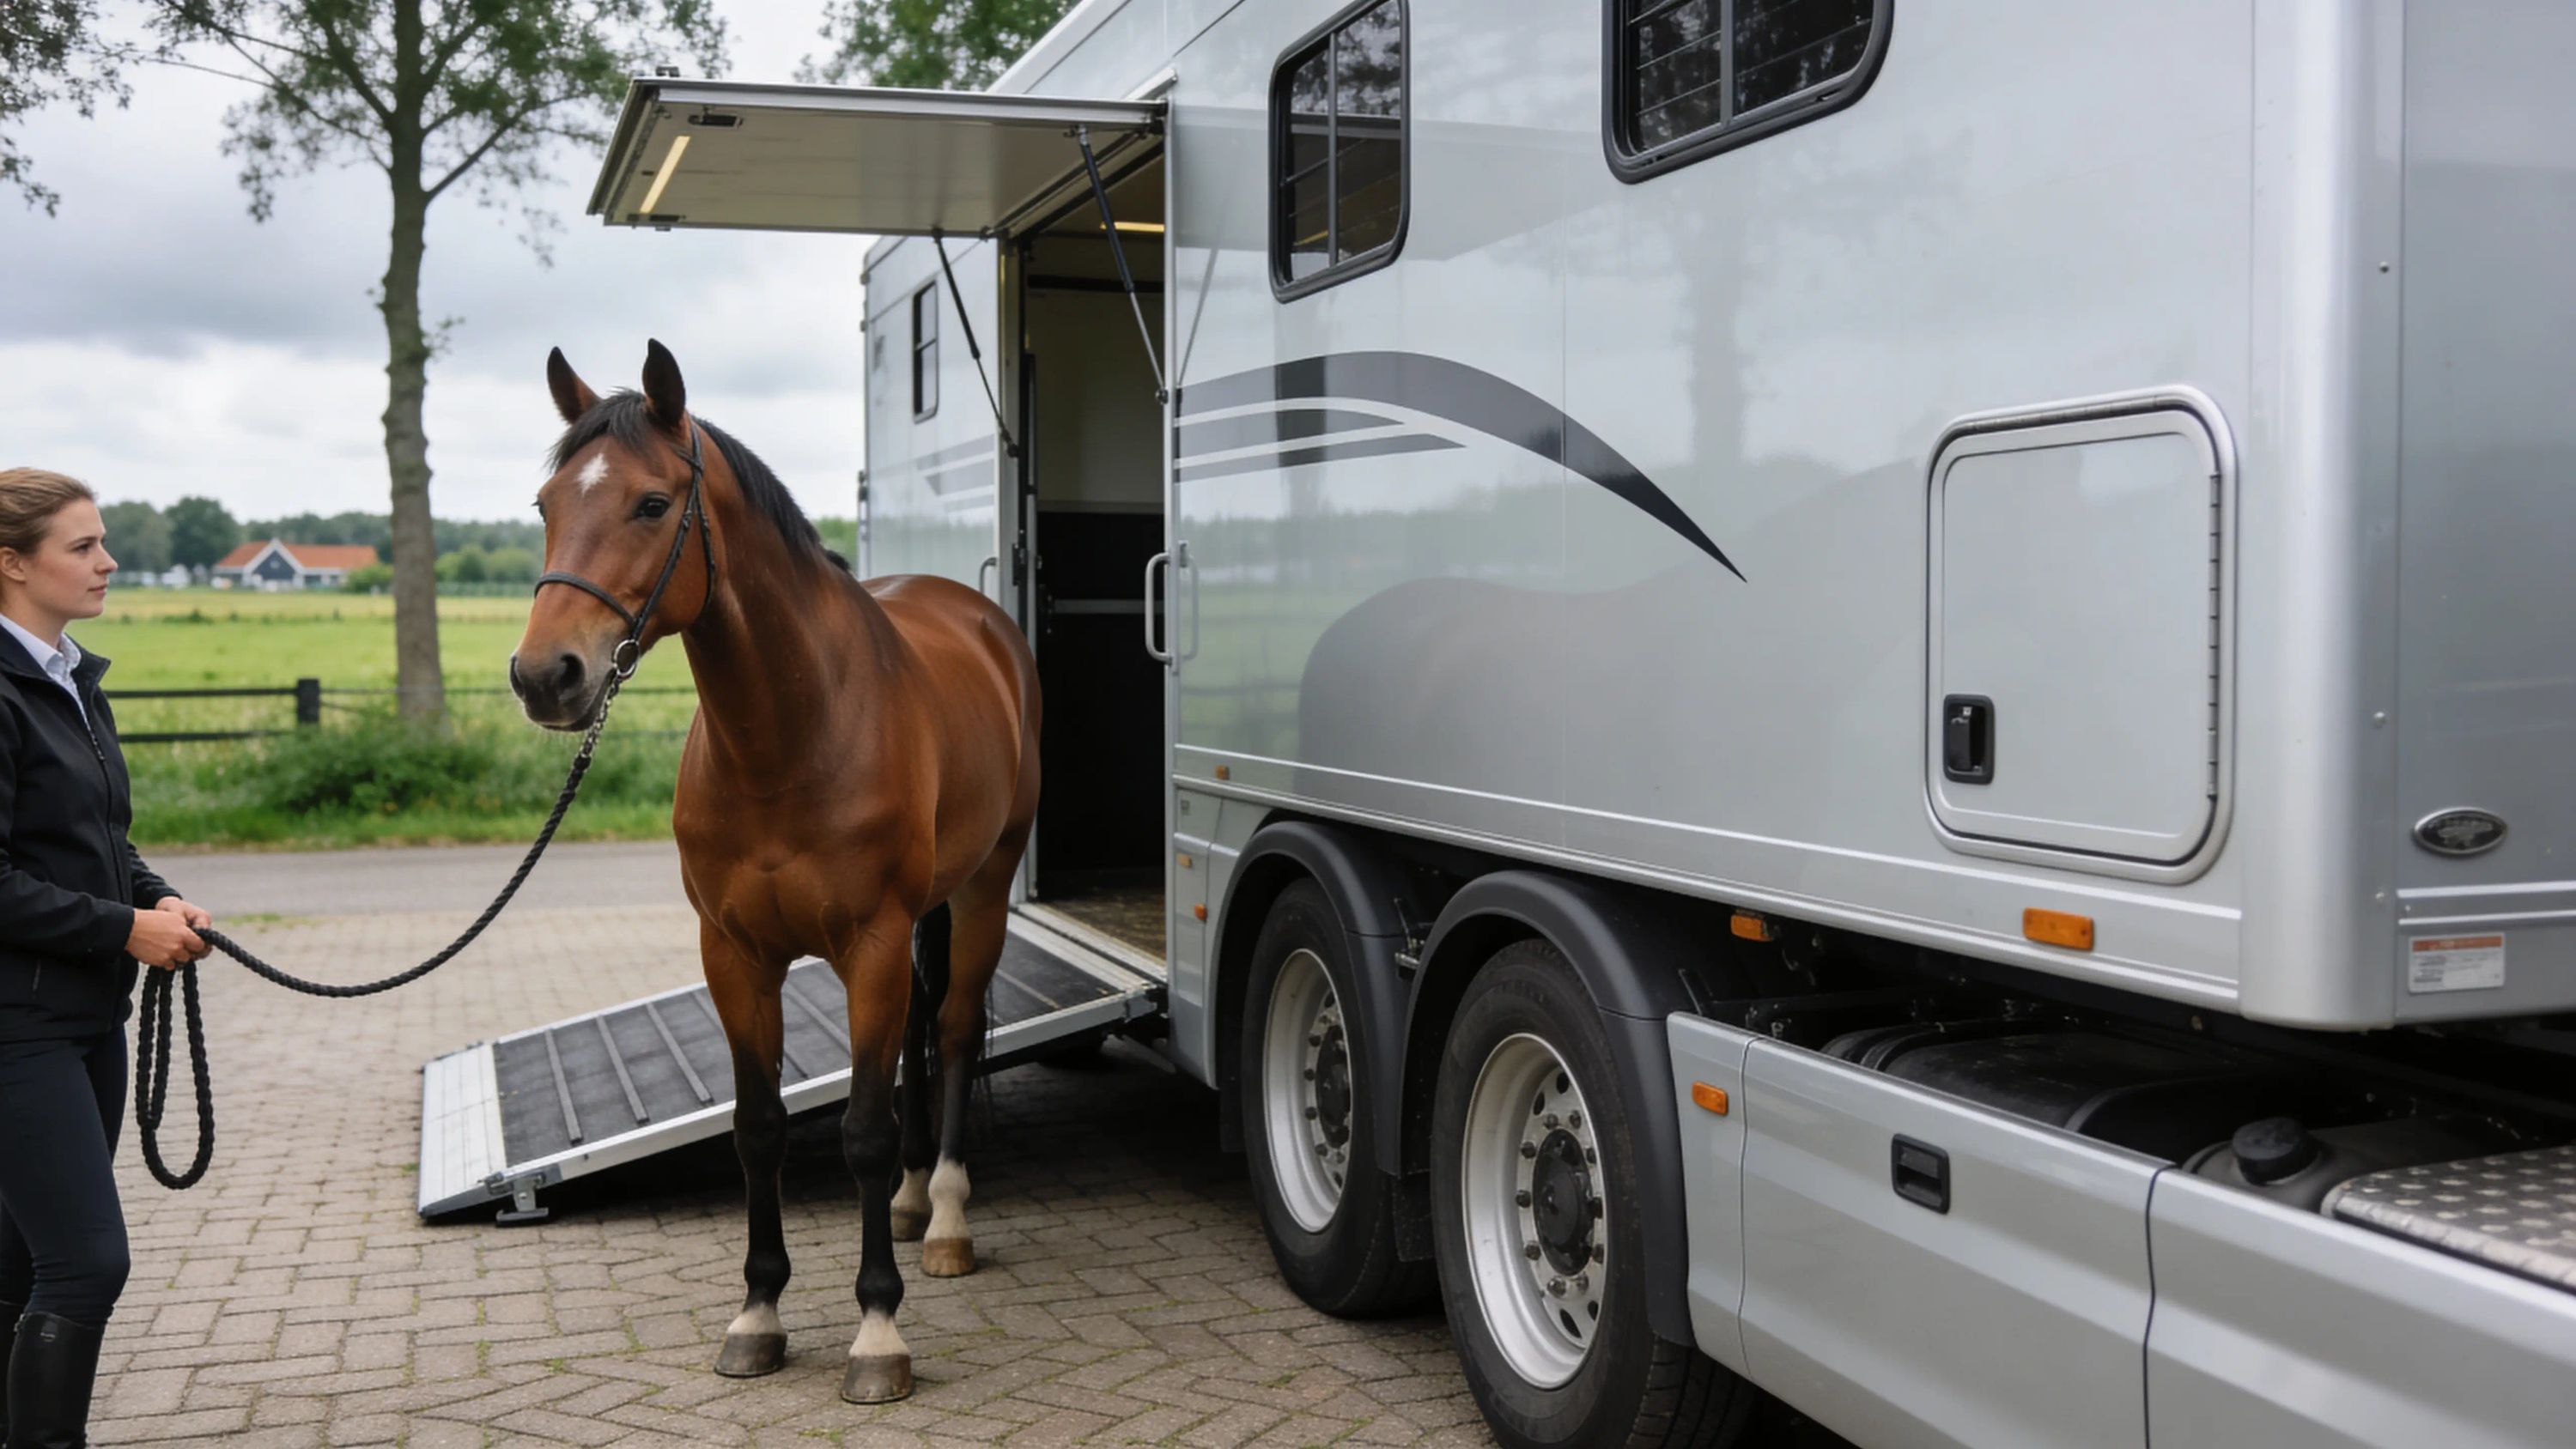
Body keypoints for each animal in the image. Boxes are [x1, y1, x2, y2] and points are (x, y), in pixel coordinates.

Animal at [509, 340, 1041, 1404]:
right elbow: (759, 1127)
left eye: (651, 503)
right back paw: (912, 1199)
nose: (545, 676)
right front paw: (757, 1311)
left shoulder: (868, 945)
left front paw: (877, 1329)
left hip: (982, 888)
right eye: (546, 502)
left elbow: (861, 1128)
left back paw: (946, 1215)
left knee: (955, 1029)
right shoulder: (735, 953)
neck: (792, 734)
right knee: (920, 1034)